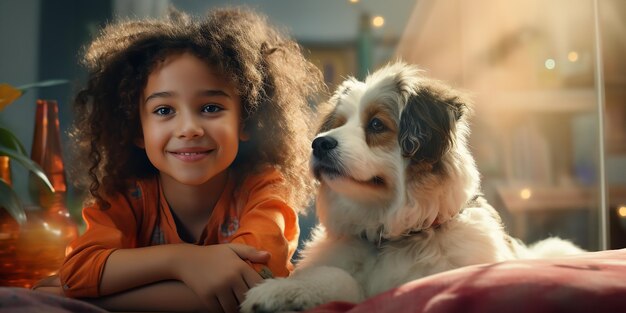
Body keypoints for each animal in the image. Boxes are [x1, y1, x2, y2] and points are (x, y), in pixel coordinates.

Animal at [239, 62, 580, 310]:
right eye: (338, 124)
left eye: (377, 124)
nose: (318, 144)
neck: (387, 234)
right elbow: (337, 277)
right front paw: (285, 290)